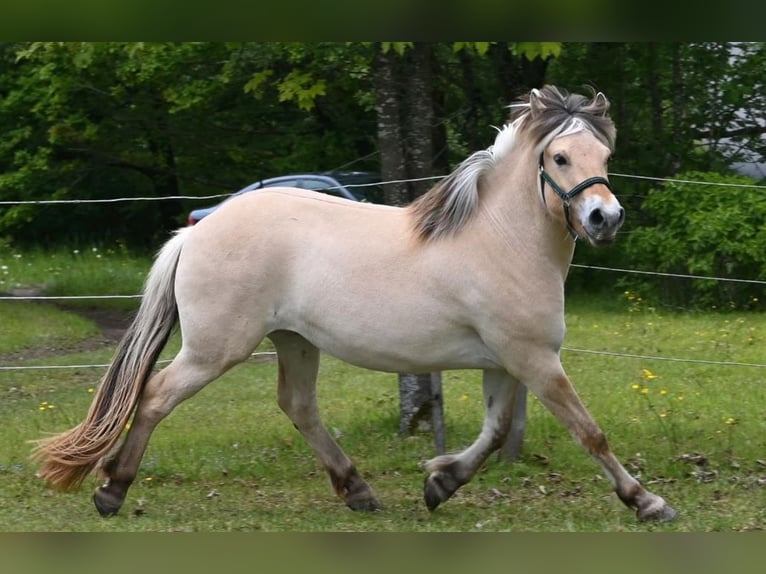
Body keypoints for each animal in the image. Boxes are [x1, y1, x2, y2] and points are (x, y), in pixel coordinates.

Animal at [32, 85, 677, 523]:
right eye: (560, 158)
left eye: (604, 157)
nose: (605, 218)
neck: (500, 240)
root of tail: (197, 230)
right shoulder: (534, 359)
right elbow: (590, 433)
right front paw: (646, 501)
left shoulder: (506, 362)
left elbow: (495, 434)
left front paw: (439, 482)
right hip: (216, 348)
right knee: (155, 396)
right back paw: (112, 491)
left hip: (294, 341)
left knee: (298, 406)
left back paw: (357, 490)